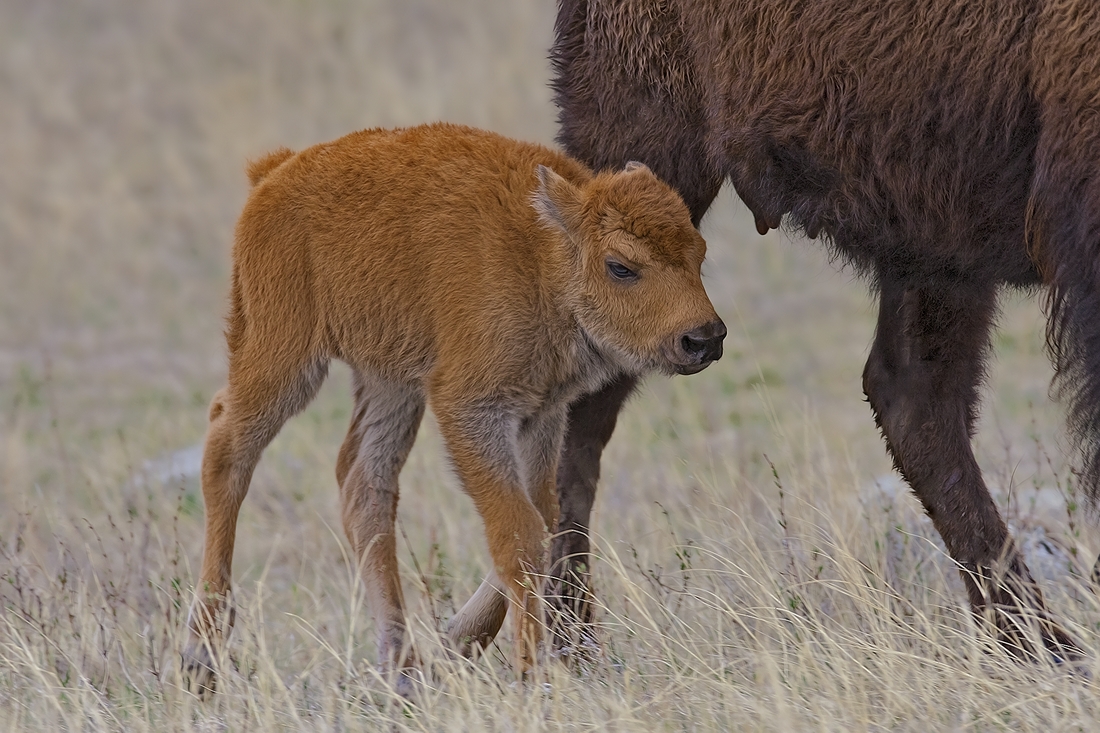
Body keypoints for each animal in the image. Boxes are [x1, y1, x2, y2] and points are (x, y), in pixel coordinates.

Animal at [180, 124, 726, 691]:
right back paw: (201, 654)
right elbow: (518, 529)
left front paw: (473, 648)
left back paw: (401, 668)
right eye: (620, 266)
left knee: (364, 487)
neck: (543, 254)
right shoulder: (471, 409)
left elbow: (543, 515)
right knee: (227, 450)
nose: (703, 338)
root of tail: (275, 173)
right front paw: (532, 672)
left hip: (390, 381)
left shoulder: (542, 413)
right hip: (284, 355)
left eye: (699, 252)